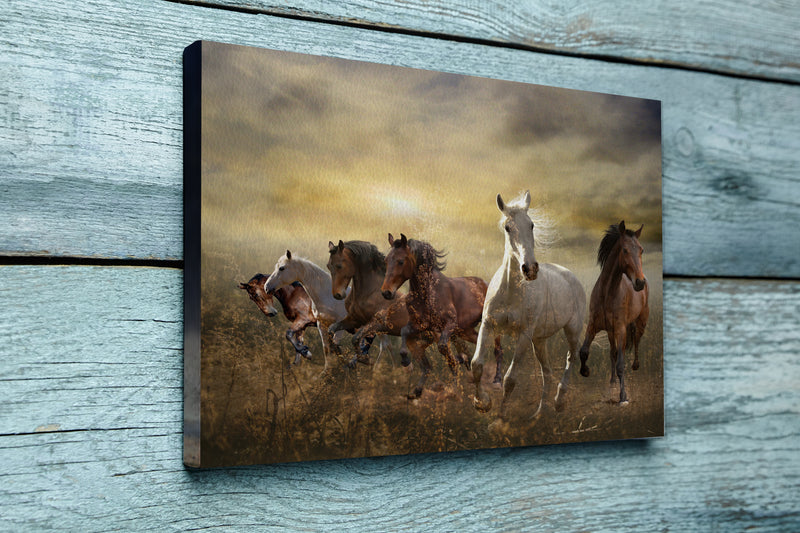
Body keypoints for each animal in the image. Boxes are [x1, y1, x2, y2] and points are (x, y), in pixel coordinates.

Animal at [380, 233, 500, 400]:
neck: (427, 293)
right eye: (386, 260)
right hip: (465, 331)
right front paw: (406, 363)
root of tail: (486, 283)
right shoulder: (420, 325)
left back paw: (497, 380)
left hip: (490, 323)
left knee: (497, 347)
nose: (386, 292)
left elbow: (444, 348)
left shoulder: (449, 324)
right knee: (478, 342)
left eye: (401, 261)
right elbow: (405, 333)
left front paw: (454, 388)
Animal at [468, 191, 588, 420]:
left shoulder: (524, 335)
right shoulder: (488, 325)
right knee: (547, 373)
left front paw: (500, 419)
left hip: (572, 330)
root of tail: (571, 275)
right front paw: (482, 403)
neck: (511, 291)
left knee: (571, 358)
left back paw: (559, 402)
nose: (530, 269)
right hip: (539, 341)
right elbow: (476, 364)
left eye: (531, 225)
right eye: (507, 227)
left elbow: (510, 379)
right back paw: (539, 414)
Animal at [580, 220, 648, 404]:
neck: (607, 294)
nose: (639, 282)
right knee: (612, 353)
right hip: (611, 332)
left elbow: (620, 364)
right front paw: (585, 371)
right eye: (624, 250)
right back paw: (611, 382)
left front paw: (623, 397)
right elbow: (584, 351)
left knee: (636, 341)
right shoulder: (593, 326)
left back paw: (636, 365)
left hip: (639, 323)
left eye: (641, 250)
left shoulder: (621, 329)